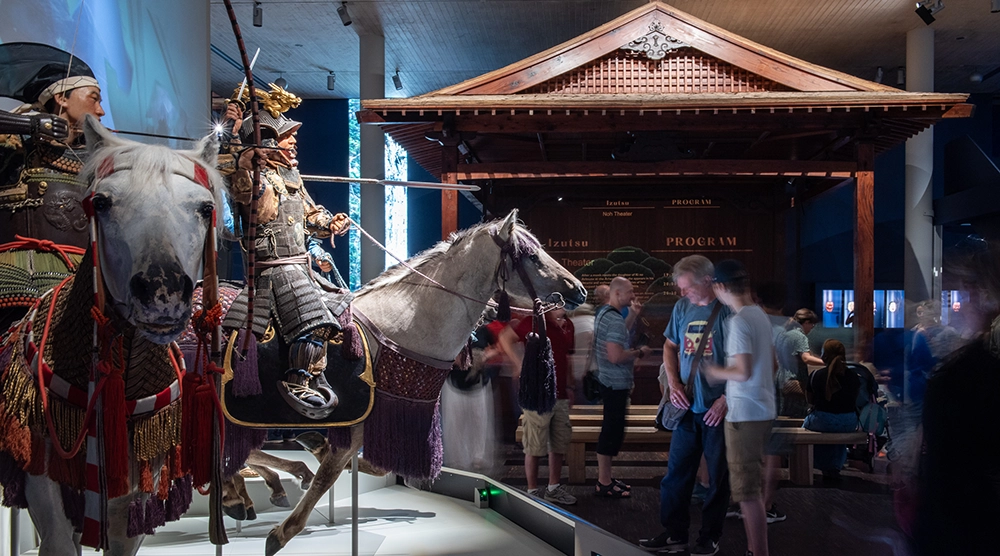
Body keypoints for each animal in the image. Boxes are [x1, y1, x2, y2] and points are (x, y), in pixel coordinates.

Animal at [0, 114, 224, 555]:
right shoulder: (45, 480)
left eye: (205, 208)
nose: (162, 293)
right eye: (101, 203)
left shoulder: (134, 485)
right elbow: (56, 540)